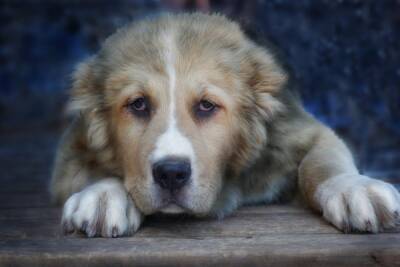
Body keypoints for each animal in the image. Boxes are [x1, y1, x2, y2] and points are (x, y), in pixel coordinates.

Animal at [50, 13, 400, 239]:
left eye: (207, 106)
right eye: (138, 104)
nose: (171, 174)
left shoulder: (301, 131)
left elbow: (322, 163)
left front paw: (352, 188)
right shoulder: (69, 151)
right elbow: (91, 170)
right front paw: (104, 195)